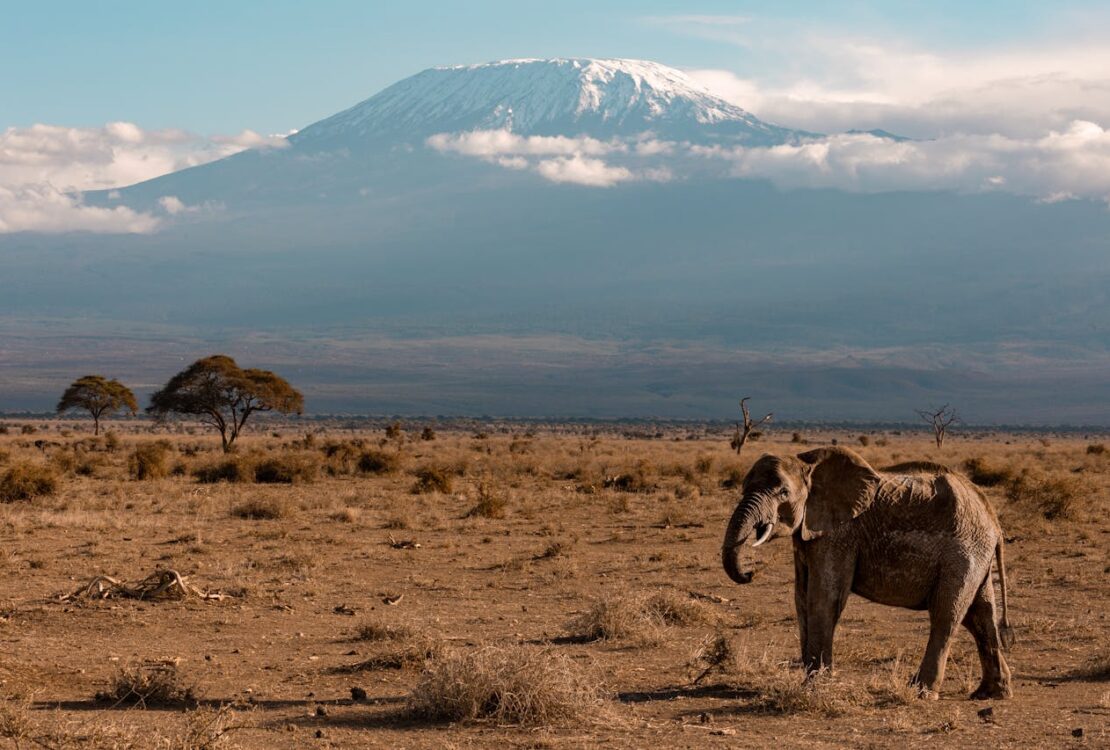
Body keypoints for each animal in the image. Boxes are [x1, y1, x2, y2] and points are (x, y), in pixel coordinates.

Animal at [719, 446, 1016, 696]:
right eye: (744, 487)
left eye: (782, 493)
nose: (749, 574)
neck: (808, 463)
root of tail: (993, 519)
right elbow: (801, 598)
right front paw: (812, 680)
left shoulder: (840, 533)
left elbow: (824, 597)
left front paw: (815, 686)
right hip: (976, 554)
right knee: (980, 615)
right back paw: (991, 693)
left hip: (964, 552)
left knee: (947, 613)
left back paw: (922, 692)